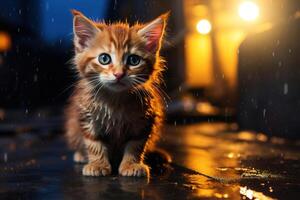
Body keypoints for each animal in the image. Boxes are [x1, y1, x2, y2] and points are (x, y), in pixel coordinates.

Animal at [65, 10, 168, 177]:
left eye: (134, 60)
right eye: (104, 58)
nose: (119, 74)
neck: (115, 100)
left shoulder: (145, 120)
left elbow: (136, 145)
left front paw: (131, 164)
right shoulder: (87, 117)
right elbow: (94, 143)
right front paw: (98, 164)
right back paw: (81, 155)